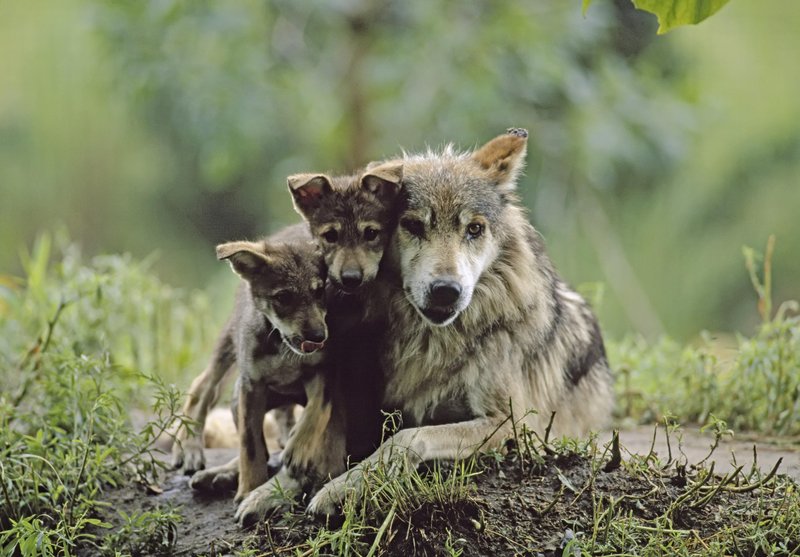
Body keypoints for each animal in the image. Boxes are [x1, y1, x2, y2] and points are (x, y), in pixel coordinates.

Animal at [306, 129, 612, 512]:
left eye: (474, 228)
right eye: (413, 225)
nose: (445, 291)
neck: (436, 342)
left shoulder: (514, 424)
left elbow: (408, 438)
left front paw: (341, 487)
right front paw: (268, 491)